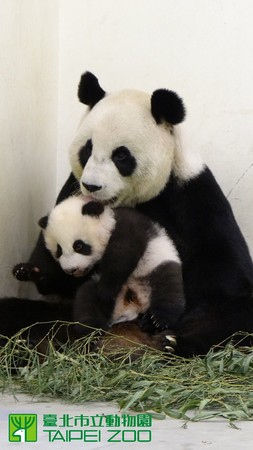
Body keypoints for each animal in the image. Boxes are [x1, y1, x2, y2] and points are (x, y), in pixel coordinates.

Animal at [13, 72, 253, 356]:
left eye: (121, 156)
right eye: (87, 149)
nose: (91, 186)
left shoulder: (194, 195)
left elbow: (225, 279)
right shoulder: (70, 188)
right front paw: (34, 270)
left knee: (233, 314)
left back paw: (174, 341)